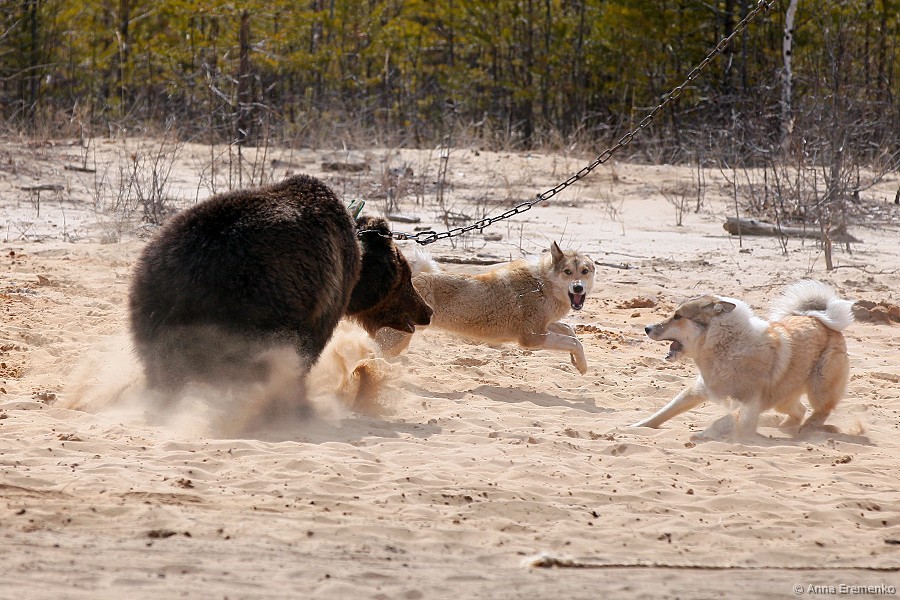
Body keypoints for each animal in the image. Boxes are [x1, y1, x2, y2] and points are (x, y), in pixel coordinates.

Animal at [129, 174, 432, 398]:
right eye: (406, 278)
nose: (427, 311)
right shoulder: (321, 299)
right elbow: (307, 350)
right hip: (245, 303)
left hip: (150, 299)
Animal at [376, 241, 595, 374]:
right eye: (567, 272)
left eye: (585, 271)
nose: (578, 287)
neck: (542, 284)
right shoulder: (532, 337)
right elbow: (574, 341)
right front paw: (583, 365)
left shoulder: (543, 326)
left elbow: (569, 331)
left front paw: (577, 362)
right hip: (395, 339)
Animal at [632, 280, 854, 438]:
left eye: (678, 316)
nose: (647, 328)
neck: (725, 345)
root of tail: (819, 320)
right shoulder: (696, 391)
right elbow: (662, 413)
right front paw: (632, 427)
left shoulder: (749, 403)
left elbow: (724, 421)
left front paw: (704, 435)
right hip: (783, 397)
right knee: (799, 410)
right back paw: (786, 427)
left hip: (819, 387)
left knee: (821, 410)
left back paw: (806, 429)